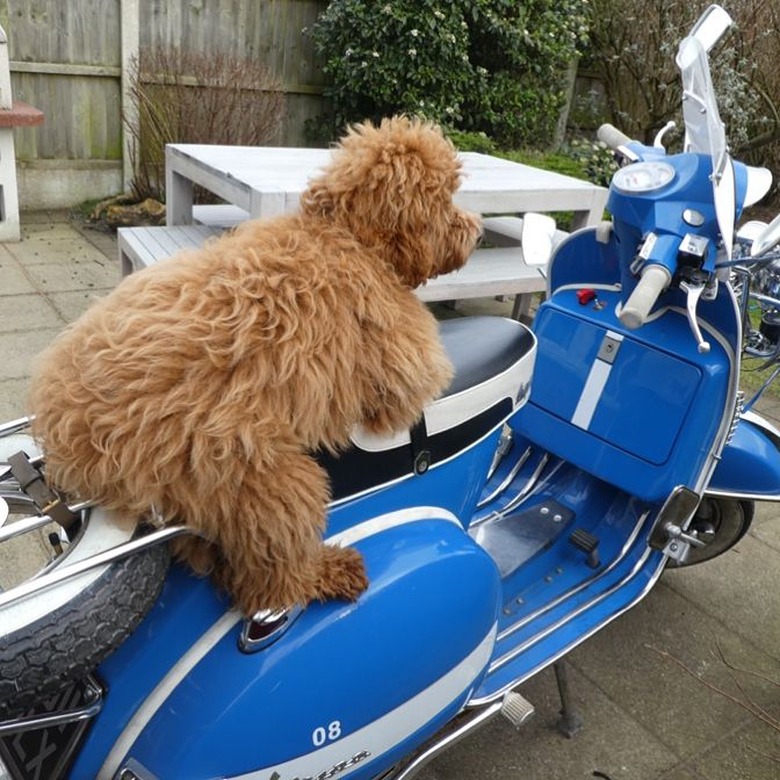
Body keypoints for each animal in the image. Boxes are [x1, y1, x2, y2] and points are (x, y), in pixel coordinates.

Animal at [27, 116, 482, 616]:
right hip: (266, 477)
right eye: (445, 198)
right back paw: (330, 571)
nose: (478, 232)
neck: (346, 234)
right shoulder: (403, 363)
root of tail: (72, 443)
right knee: (272, 580)